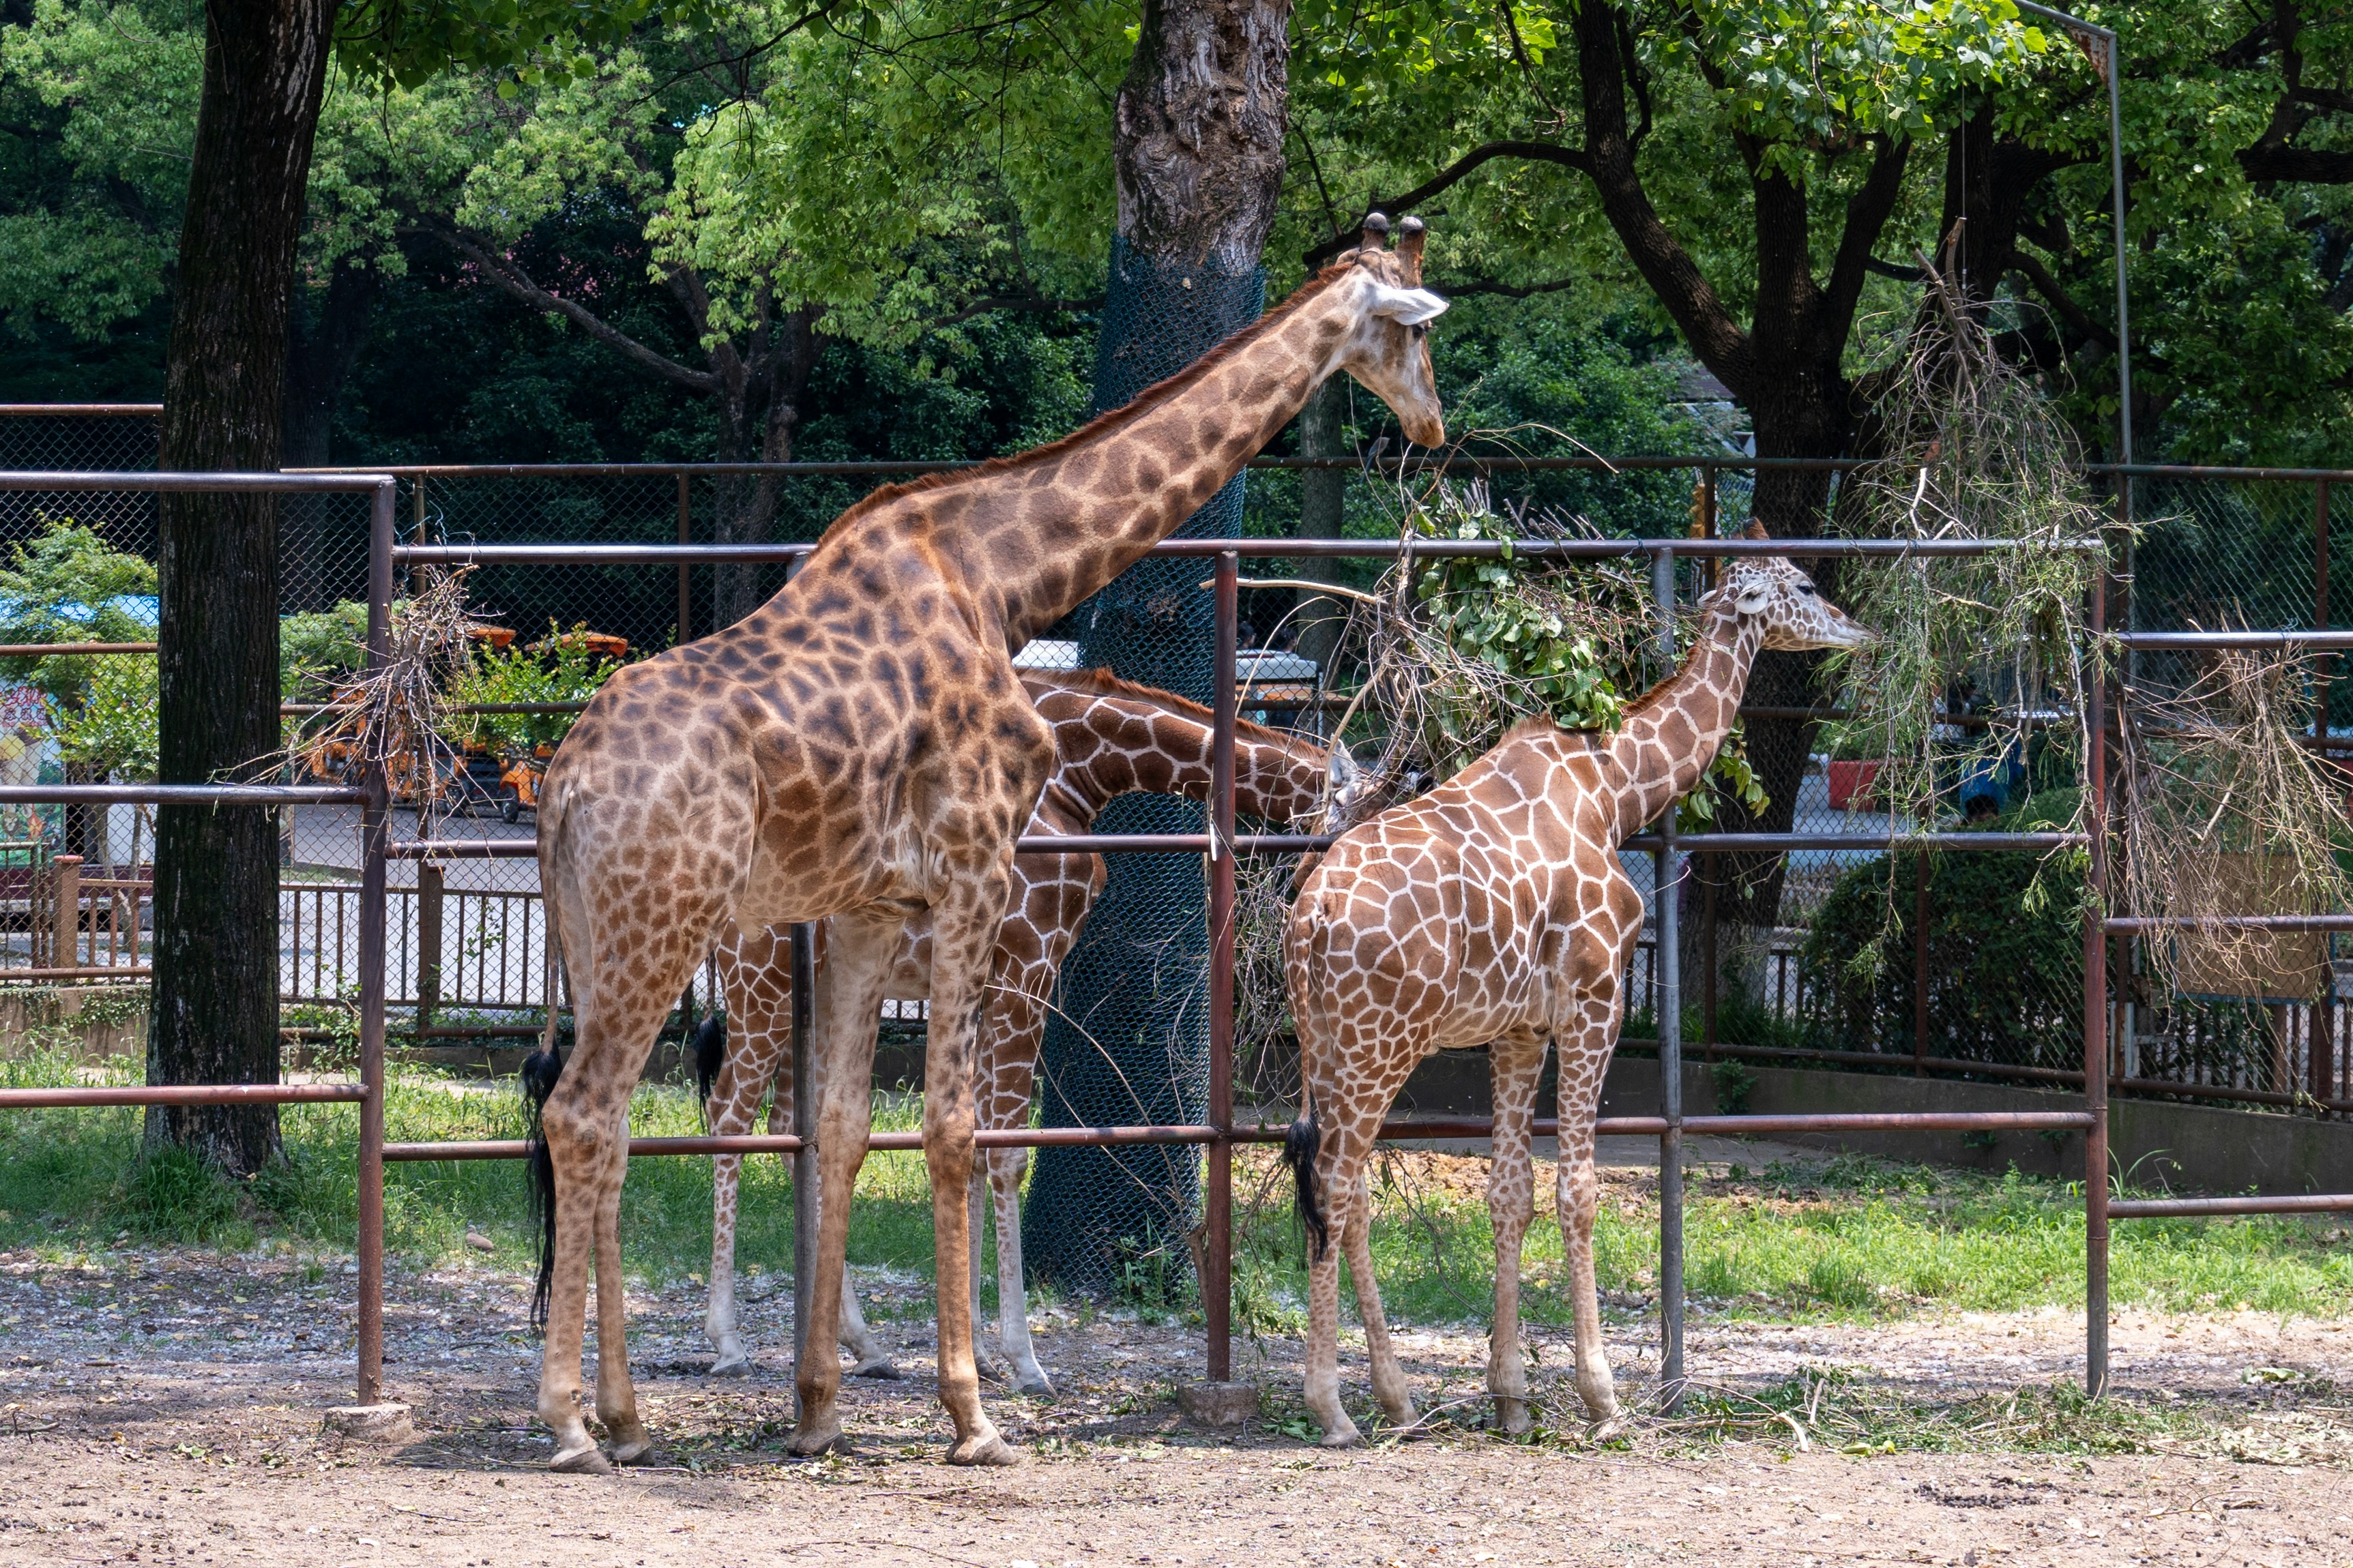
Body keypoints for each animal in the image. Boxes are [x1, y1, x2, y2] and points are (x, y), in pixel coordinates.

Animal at [698, 666, 1367, 1394]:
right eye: (1362, 818)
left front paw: (978, 1349)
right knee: (729, 1115)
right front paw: (1024, 1359)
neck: (1079, 772)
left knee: (798, 1125)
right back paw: (727, 1340)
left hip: (813, 989)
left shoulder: (995, 979)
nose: (1328, 898)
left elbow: (974, 1144)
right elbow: (1007, 1151)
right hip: (759, 974)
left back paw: (861, 1342)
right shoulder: (1029, 961)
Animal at [1280, 525, 1869, 1446]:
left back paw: (1396, 1396)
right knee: (1337, 1184)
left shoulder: (1518, 1027)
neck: (1615, 787)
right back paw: (1332, 1408)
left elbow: (1509, 1193)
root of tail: (1311, 916)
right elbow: (1579, 1192)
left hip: (1326, 1042)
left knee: (1347, 1186)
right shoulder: (1597, 999)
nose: (1857, 629)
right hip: (1383, 1040)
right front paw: (1602, 1397)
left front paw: (1511, 1396)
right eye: (1804, 586)